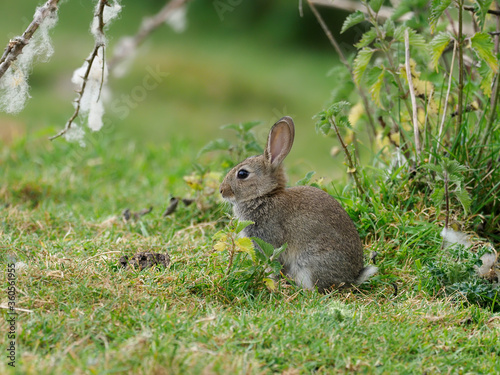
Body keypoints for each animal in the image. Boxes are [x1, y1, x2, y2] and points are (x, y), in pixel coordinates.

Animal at [219, 116, 376, 292]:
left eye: (242, 174)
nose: (222, 191)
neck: (264, 195)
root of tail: (351, 278)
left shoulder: (271, 243)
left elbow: (274, 266)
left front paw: (273, 285)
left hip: (309, 263)